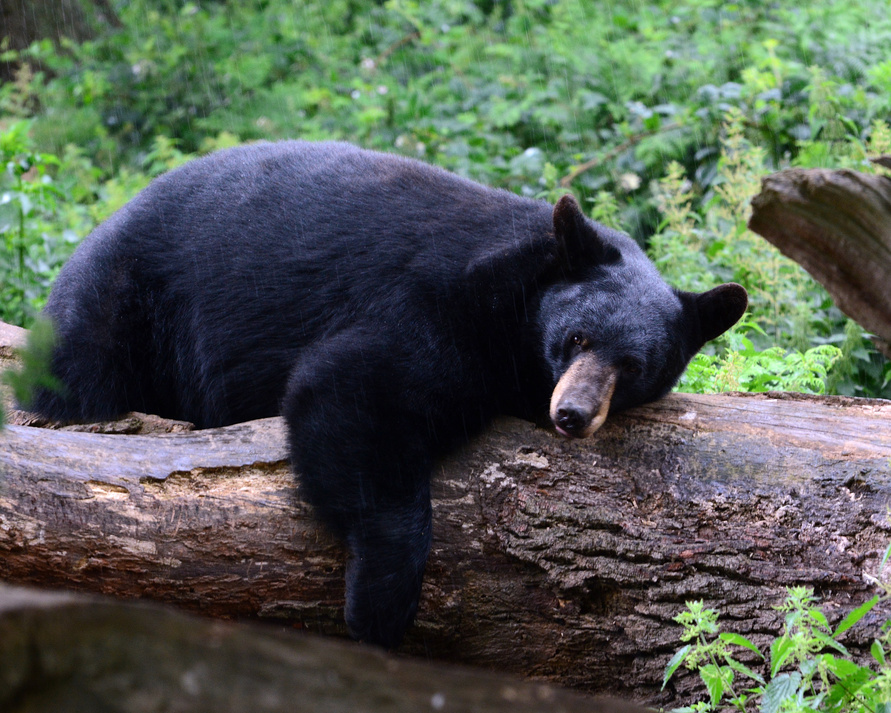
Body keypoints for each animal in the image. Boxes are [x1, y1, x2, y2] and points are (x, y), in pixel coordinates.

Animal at [31, 139, 748, 644]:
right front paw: (380, 603)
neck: (516, 297)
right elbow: (352, 390)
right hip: (125, 300)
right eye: (576, 337)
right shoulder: (435, 302)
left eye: (633, 365)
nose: (571, 414)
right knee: (81, 373)